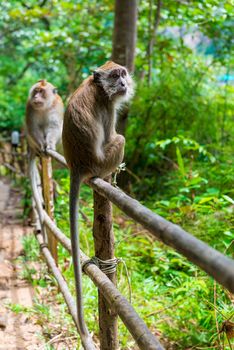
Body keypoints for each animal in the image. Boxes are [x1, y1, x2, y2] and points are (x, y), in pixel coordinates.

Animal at [62, 60, 134, 348]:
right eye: (116, 76)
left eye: (123, 74)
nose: (124, 83)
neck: (99, 89)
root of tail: (77, 166)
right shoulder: (107, 108)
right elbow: (112, 137)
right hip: (101, 163)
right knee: (120, 140)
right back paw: (109, 178)